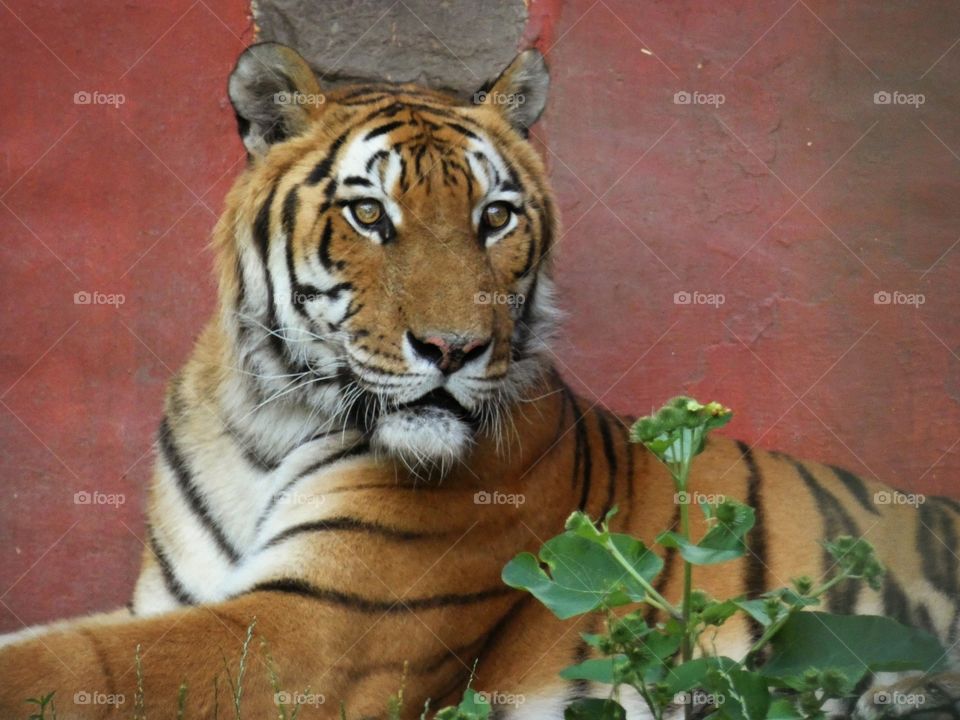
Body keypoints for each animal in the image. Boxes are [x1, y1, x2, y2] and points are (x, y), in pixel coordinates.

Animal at [0, 41, 958, 720]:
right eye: (368, 213)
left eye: (495, 217)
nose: (453, 349)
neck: (267, 419)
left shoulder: (314, 631)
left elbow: (74, 663)